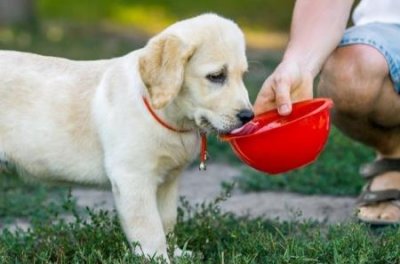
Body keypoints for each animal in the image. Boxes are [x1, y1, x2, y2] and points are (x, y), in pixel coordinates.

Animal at [0, 13, 253, 260]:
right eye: (216, 76)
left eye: (243, 75)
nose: (248, 116)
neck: (169, 116)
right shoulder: (133, 178)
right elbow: (150, 229)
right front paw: (158, 258)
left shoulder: (168, 180)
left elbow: (167, 221)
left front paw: (177, 253)